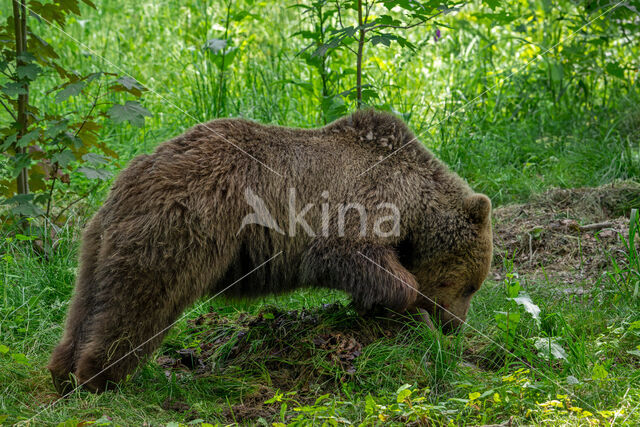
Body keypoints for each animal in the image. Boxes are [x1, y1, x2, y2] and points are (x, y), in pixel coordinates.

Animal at [47, 109, 492, 394]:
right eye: (471, 286)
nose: (455, 325)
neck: (412, 200)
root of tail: (136, 174)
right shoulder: (357, 207)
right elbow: (354, 256)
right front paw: (408, 301)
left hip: (99, 239)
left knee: (90, 299)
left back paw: (62, 372)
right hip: (181, 232)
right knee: (139, 302)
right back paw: (100, 378)